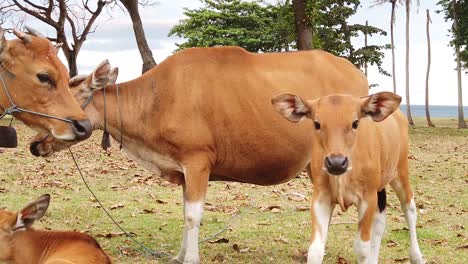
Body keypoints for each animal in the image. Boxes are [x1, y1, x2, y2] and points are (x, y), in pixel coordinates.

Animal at [30, 48, 370, 264]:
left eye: (65, 96)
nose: (35, 144)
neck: (156, 98)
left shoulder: (197, 163)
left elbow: (193, 216)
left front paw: (191, 258)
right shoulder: (183, 170)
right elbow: (185, 213)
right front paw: (180, 255)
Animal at [270, 92, 424, 262]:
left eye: (355, 123)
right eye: (317, 124)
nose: (336, 163)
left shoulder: (367, 197)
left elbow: (362, 249)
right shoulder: (321, 196)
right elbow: (315, 250)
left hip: (400, 171)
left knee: (409, 208)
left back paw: (417, 257)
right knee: (380, 220)